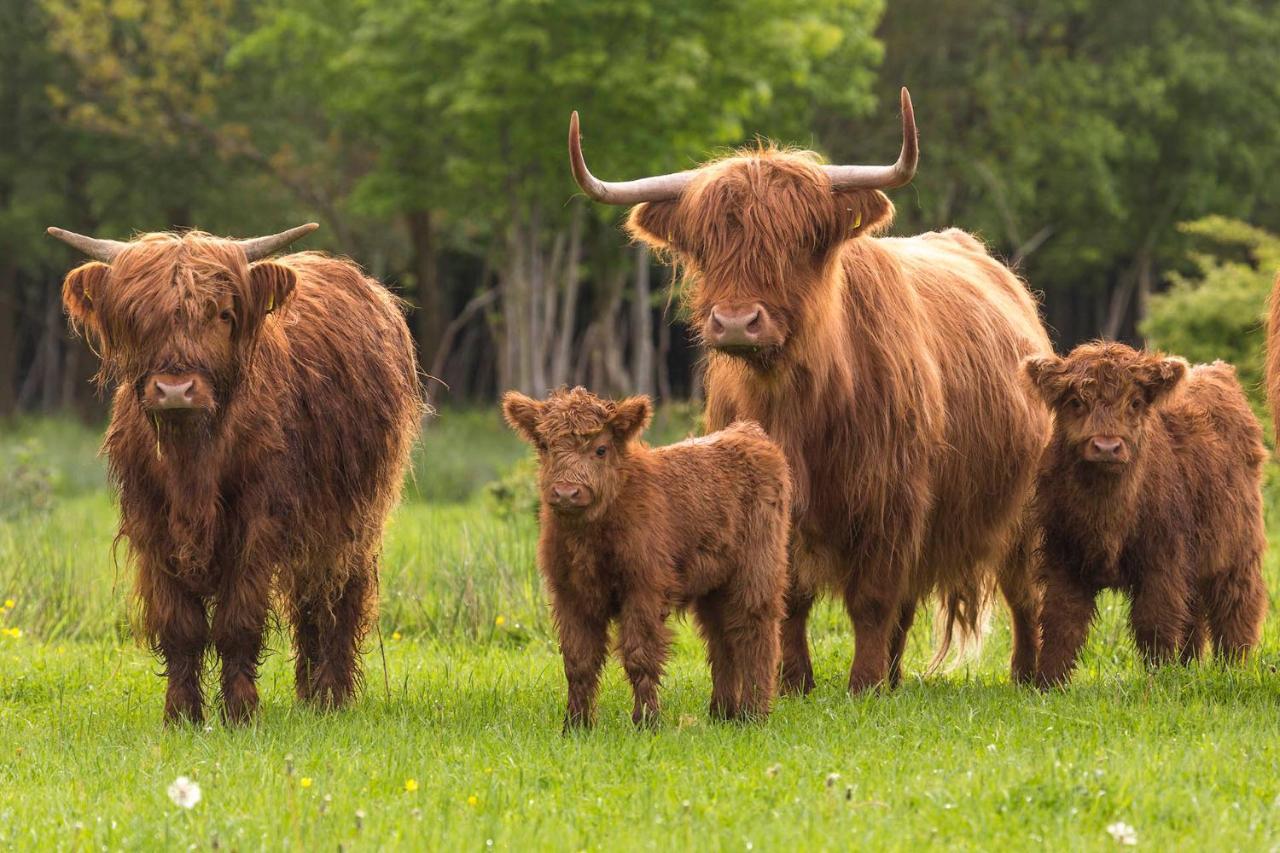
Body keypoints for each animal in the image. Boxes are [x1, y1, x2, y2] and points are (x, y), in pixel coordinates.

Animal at [49, 222, 422, 722]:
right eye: (137, 316)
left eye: (223, 314)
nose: (175, 390)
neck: (193, 462)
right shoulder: (151, 523)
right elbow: (180, 626)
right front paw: (181, 714)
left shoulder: (257, 522)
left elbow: (237, 622)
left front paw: (241, 712)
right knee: (308, 602)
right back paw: (308, 696)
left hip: (354, 517)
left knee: (338, 594)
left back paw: (331, 697)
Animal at [501, 384, 788, 722]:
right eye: (545, 446)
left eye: (601, 449)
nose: (567, 492)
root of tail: (749, 433)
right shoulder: (570, 594)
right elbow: (578, 662)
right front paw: (576, 724)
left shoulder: (644, 589)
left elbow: (640, 657)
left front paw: (647, 721)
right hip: (713, 585)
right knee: (722, 639)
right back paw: (722, 713)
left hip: (757, 569)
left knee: (755, 630)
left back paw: (753, 713)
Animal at [1018, 338, 1269, 686]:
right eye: (1076, 402)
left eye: (1135, 403)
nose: (1106, 446)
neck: (1108, 516)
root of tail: (1218, 370)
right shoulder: (1063, 560)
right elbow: (1061, 623)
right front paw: (1048, 684)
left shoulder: (1163, 561)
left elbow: (1155, 622)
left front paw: (1158, 679)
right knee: (1193, 615)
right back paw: (1189, 667)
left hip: (1236, 550)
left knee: (1236, 607)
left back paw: (1231, 669)